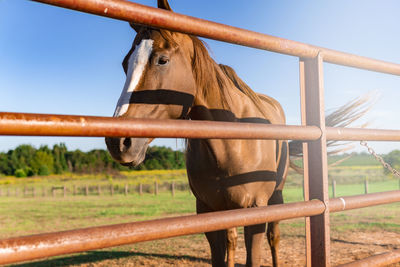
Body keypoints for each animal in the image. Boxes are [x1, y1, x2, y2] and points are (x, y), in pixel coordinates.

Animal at [105, 1, 368, 266]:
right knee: (232, 240)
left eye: (162, 60)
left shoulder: (255, 210)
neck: (232, 144)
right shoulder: (208, 211)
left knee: (274, 237)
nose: (118, 142)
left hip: (276, 196)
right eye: (125, 64)